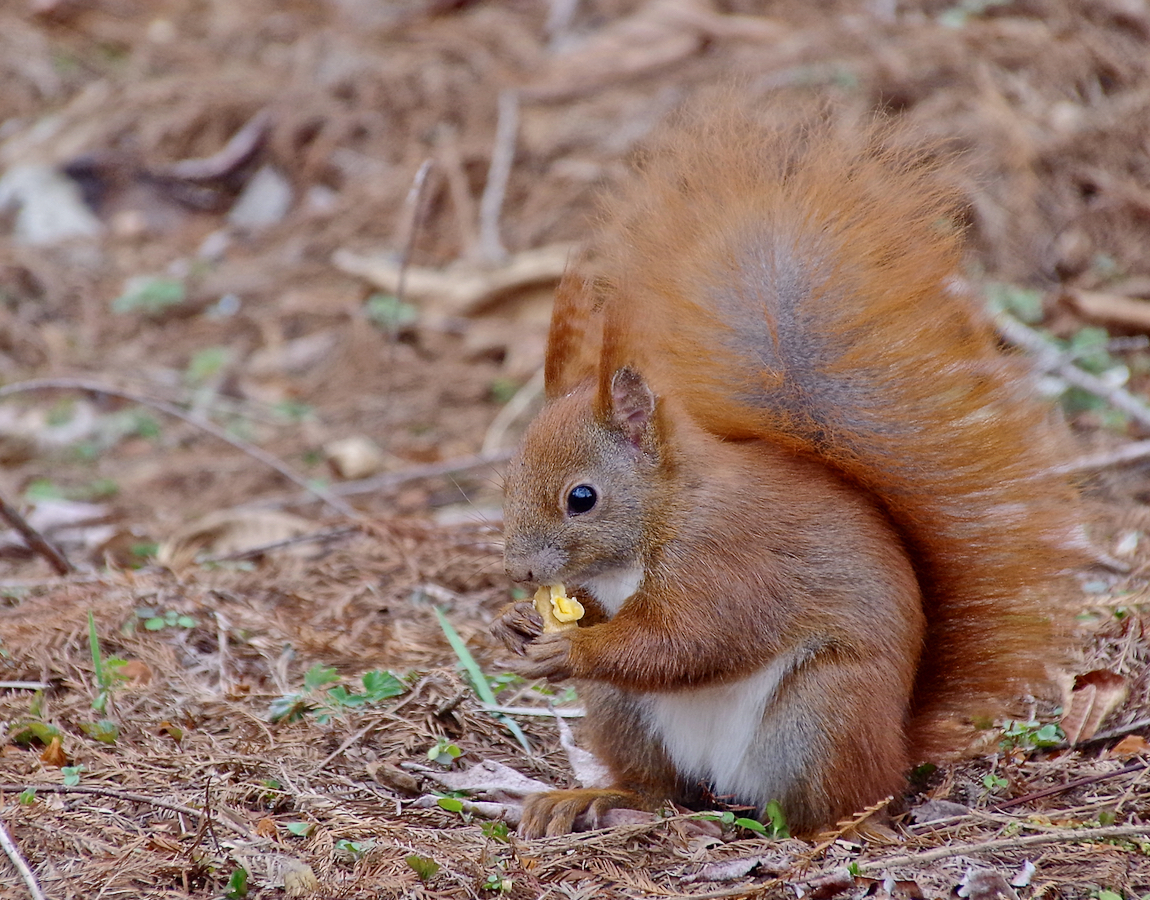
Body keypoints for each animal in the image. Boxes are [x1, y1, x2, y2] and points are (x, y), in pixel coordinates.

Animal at [489, 104, 1081, 836]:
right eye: (508, 480)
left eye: (582, 497)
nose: (520, 571)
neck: (665, 514)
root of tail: (896, 748)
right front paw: (513, 621)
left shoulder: (728, 562)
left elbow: (685, 642)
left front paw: (570, 650)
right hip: (626, 714)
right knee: (658, 787)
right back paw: (598, 798)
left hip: (823, 711)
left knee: (835, 803)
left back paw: (835, 828)